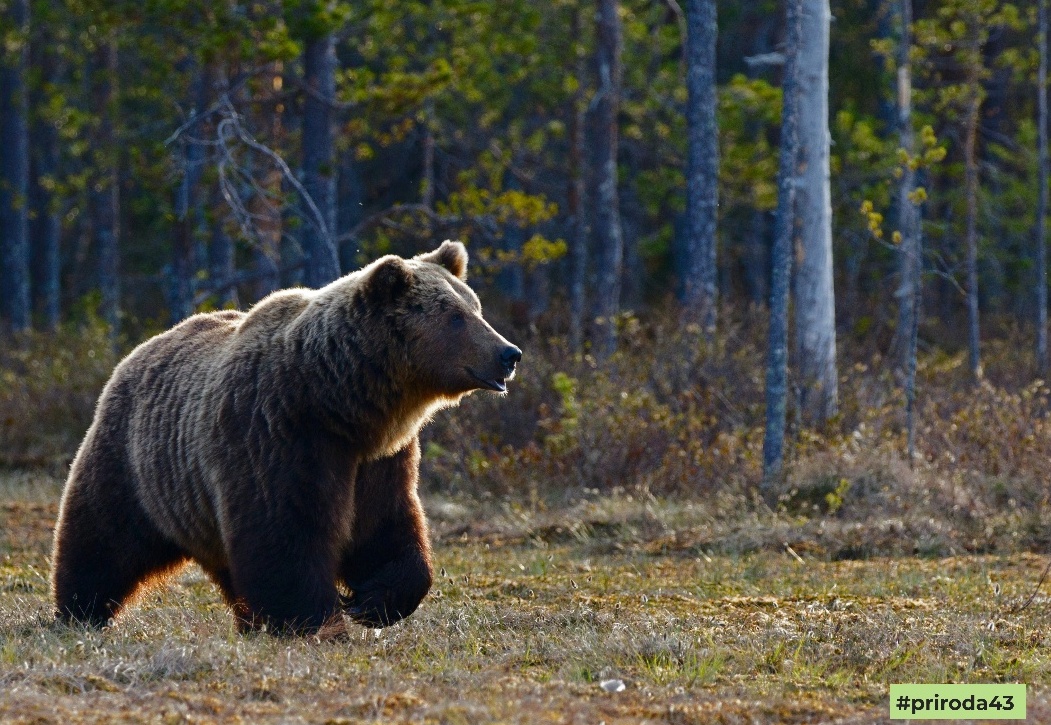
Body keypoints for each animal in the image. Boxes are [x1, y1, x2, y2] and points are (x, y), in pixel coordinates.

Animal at [51, 241, 519, 630]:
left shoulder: (379, 458)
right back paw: (79, 611)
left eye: (476, 308)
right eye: (455, 317)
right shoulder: (278, 434)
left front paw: (372, 602)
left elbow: (385, 526)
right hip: (136, 463)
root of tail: (138, 350)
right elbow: (285, 533)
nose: (509, 353)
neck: (341, 402)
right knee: (102, 537)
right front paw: (316, 620)